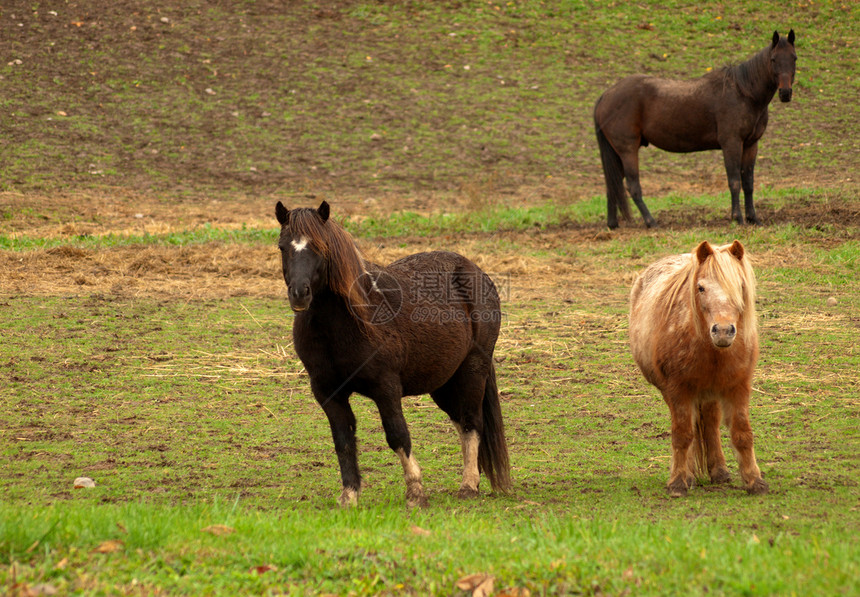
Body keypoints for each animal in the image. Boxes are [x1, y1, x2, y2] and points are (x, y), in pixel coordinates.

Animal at [276, 201, 508, 508]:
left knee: (472, 422)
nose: (299, 294)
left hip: (473, 370)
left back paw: (468, 485)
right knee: (461, 422)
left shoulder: (386, 388)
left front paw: (416, 493)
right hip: (444, 382)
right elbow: (343, 441)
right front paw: (349, 497)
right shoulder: (328, 393)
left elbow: (397, 435)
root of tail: (476, 272)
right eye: (282, 246)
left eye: (321, 247)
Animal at [596, 30, 796, 230]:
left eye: (794, 57)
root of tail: (606, 95)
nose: (785, 93)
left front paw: (753, 218)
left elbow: (748, 183)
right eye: (773, 59)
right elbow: (734, 182)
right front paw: (737, 218)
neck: (743, 93)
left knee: (612, 184)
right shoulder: (731, 144)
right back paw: (651, 221)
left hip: (618, 153)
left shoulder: (750, 145)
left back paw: (613, 223)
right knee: (632, 186)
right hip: (628, 150)